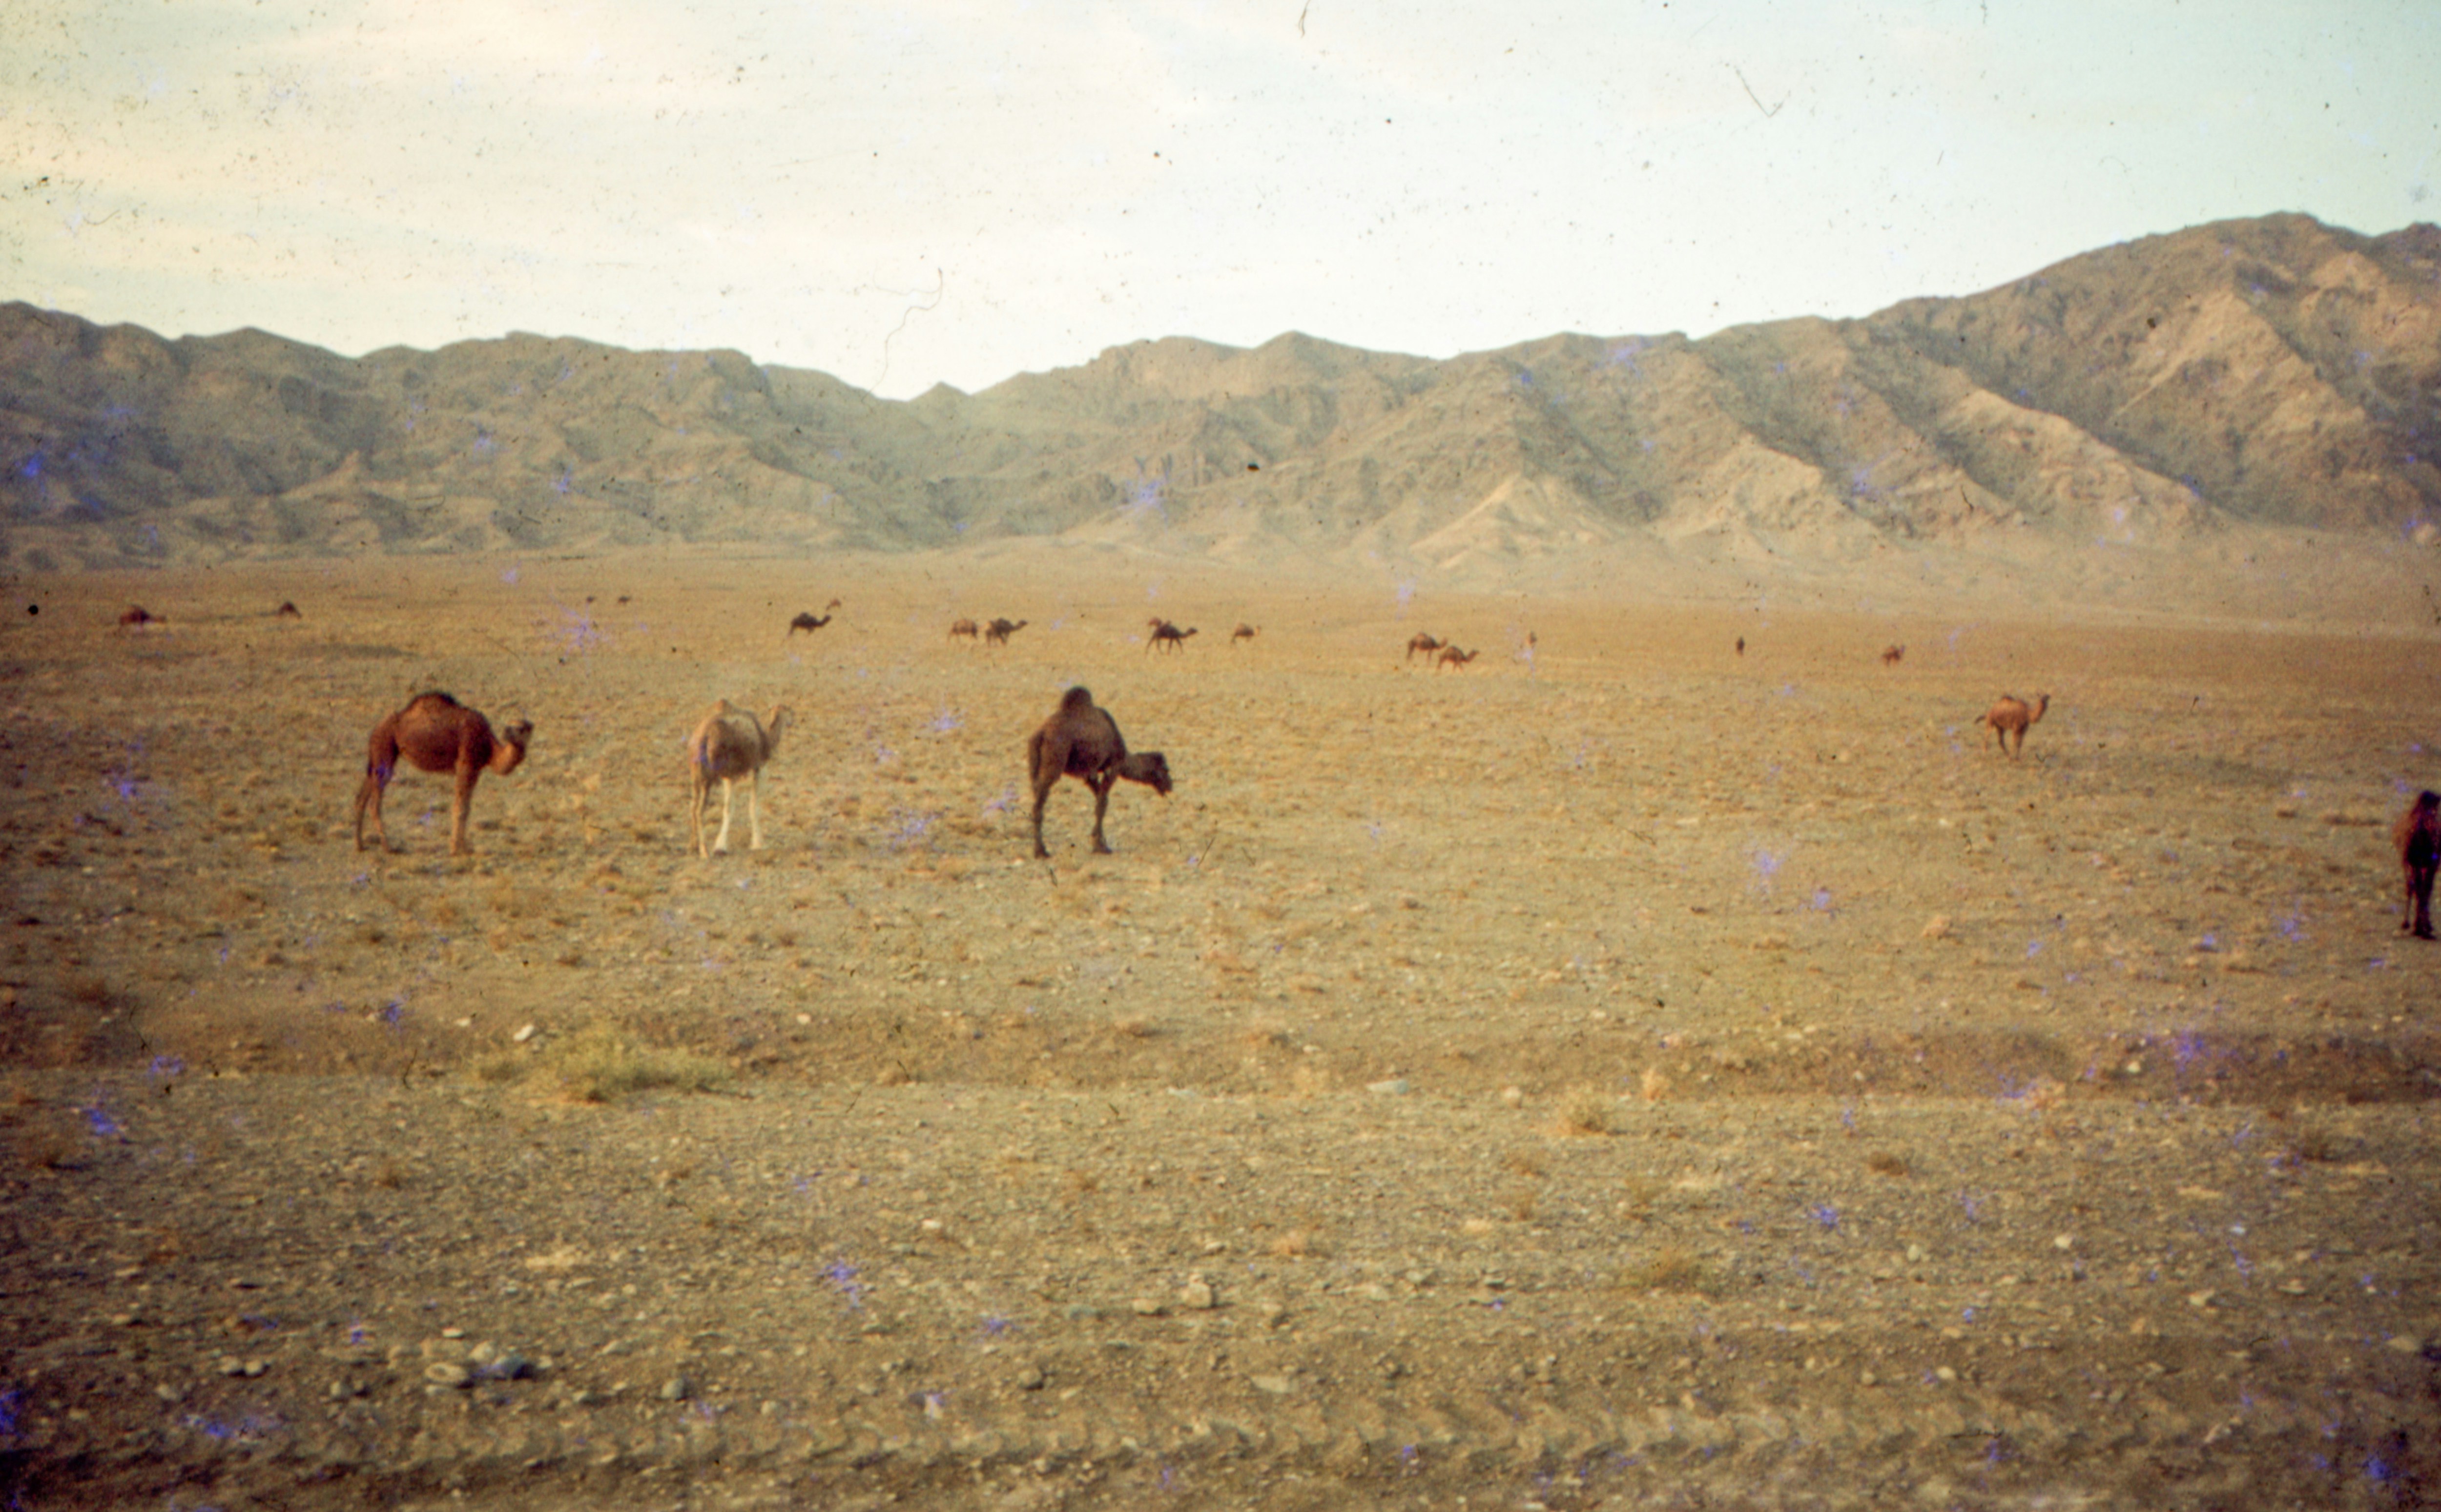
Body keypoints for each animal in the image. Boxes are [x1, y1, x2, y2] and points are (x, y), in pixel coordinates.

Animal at [351, 692, 532, 856]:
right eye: (509, 726)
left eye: (521, 729)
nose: (506, 733)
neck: (489, 748)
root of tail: (376, 729)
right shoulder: (465, 766)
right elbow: (460, 807)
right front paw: (456, 850)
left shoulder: (475, 771)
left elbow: (466, 809)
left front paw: (464, 848)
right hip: (385, 751)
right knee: (374, 804)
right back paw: (388, 848)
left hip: (380, 757)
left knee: (361, 797)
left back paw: (360, 845)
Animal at [687, 699, 793, 858]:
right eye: (789, 711)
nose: (793, 721)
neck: (766, 740)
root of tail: (702, 737)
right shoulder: (758, 768)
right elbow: (752, 806)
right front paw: (757, 844)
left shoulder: (728, 776)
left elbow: (728, 808)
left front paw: (721, 846)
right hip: (708, 777)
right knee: (700, 810)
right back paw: (704, 851)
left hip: (696, 775)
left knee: (693, 806)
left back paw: (693, 846)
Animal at [1026, 686, 1172, 859]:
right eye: (1165, 770)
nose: (1170, 785)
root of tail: (1041, 734)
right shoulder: (1114, 766)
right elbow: (1102, 803)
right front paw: (1101, 847)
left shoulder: (1089, 774)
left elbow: (1099, 800)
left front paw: (1099, 842)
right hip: (1054, 762)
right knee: (1038, 805)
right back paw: (1041, 851)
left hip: (1034, 768)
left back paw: (1039, 848)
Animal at [1977, 692, 2050, 757]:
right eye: (2040, 697)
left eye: (2046, 699)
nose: (2043, 702)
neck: (2028, 714)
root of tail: (1989, 712)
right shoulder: (2016, 728)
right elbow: (2014, 742)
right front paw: (2011, 758)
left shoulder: (2023, 730)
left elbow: (2019, 744)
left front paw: (2017, 758)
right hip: (1991, 722)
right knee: (1987, 736)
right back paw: (1985, 752)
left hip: (2000, 727)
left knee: (2000, 741)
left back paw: (2006, 754)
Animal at [2396, 791, 2440, 940]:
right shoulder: (2431, 863)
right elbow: (2426, 888)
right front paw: (2425, 926)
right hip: (2420, 862)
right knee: (2419, 887)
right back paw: (2419, 926)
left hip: (2411, 861)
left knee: (2413, 885)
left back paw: (2410, 924)